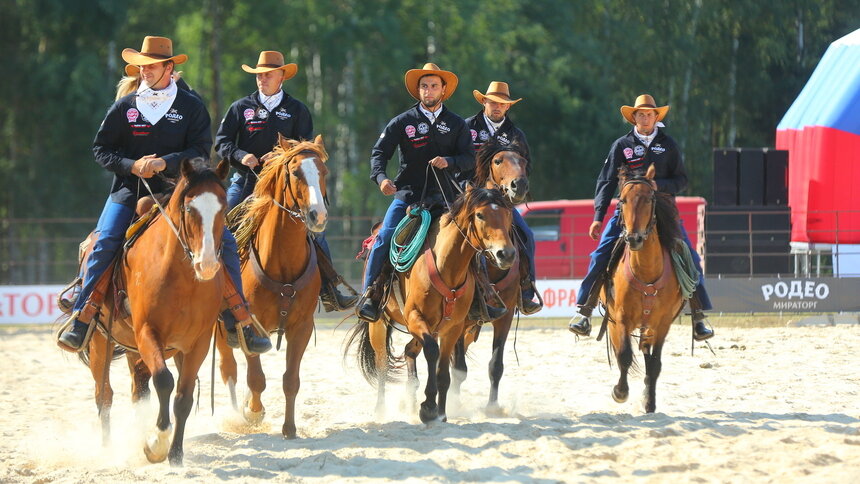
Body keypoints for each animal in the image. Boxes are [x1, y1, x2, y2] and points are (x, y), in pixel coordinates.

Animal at [78, 159, 228, 466]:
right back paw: (108, 449)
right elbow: (164, 381)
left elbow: (183, 396)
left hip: (136, 350)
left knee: (139, 390)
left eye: (223, 206)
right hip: (101, 340)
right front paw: (156, 443)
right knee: (104, 394)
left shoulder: (198, 342)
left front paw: (175, 454)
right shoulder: (148, 332)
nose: (207, 264)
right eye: (189, 208)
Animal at [214, 133, 326, 438]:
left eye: (324, 172)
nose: (318, 215)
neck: (282, 260)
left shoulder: (301, 328)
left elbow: (291, 380)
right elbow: (256, 378)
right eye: (296, 172)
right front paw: (253, 412)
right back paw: (236, 413)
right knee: (229, 368)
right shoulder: (250, 325)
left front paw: (289, 428)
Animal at [346, 186, 512, 424]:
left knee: (409, 350)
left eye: (508, 215)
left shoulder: (453, 328)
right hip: (378, 324)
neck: (446, 266)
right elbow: (432, 352)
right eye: (480, 215)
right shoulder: (415, 317)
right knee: (382, 364)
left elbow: (443, 371)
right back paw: (380, 411)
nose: (506, 254)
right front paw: (428, 408)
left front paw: (440, 413)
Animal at [600, 164, 680, 412]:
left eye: (649, 198)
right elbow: (624, 355)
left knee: (646, 350)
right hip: (614, 321)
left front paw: (650, 402)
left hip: (648, 325)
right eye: (622, 200)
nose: (633, 238)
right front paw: (620, 392)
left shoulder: (663, 323)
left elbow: (655, 363)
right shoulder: (621, 317)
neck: (646, 271)